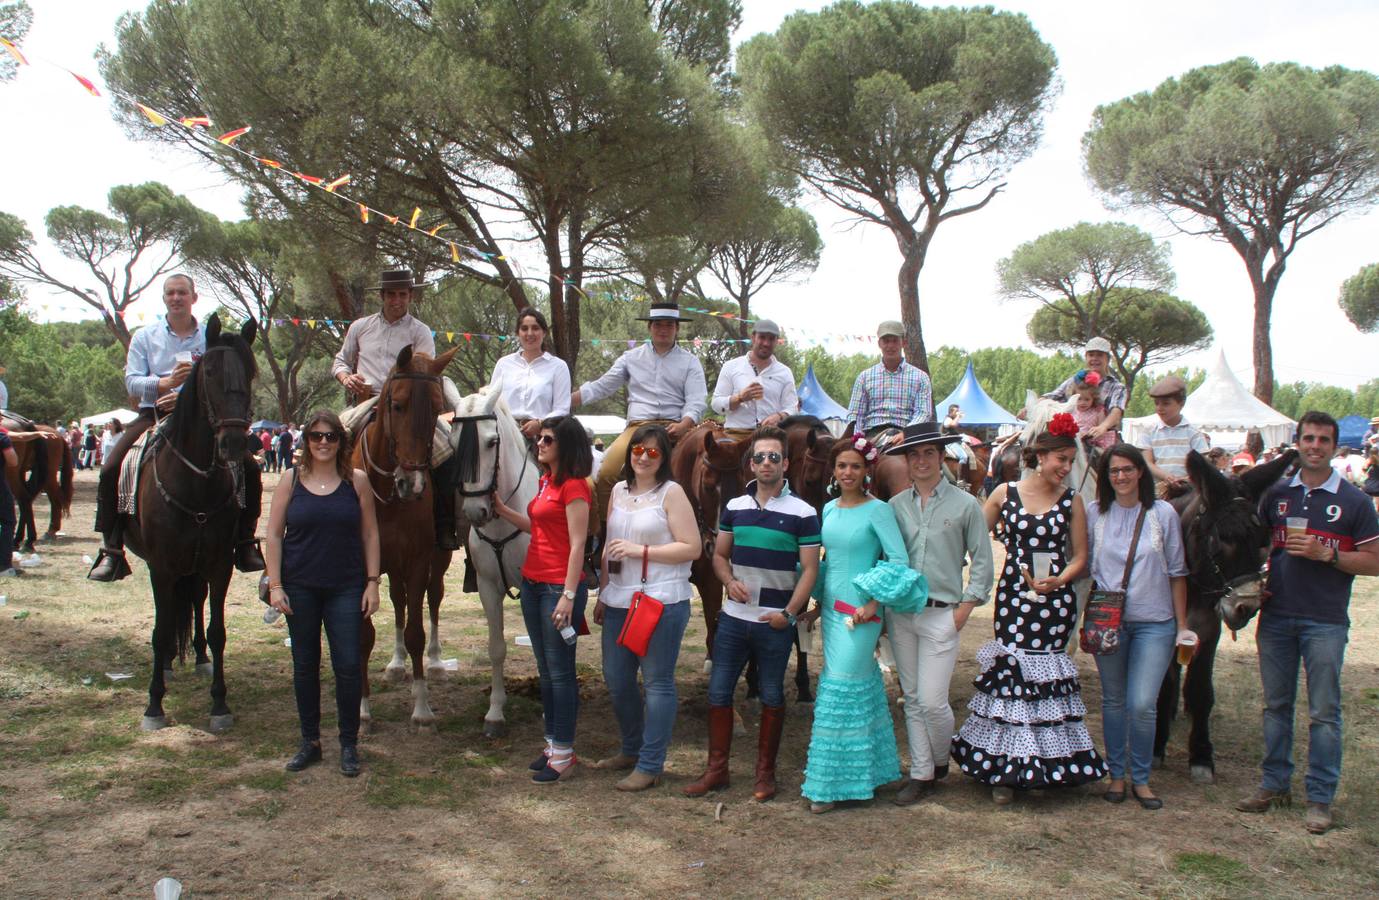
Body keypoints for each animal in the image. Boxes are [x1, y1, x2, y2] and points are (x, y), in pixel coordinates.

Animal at [119, 315, 257, 727]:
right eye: (208, 371)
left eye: (250, 372)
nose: (233, 444)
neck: (196, 484)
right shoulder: (161, 566)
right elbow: (160, 630)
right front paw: (154, 704)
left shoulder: (219, 564)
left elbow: (217, 630)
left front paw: (220, 703)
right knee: (168, 617)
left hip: (196, 565)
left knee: (194, 601)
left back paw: (197, 657)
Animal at [350, 344, 457, 727]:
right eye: (397, 404)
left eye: (438, 407)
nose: (412, 484)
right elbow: (364, 636)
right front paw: (362, 709)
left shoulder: (418, 560)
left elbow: (416, 632)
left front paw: (422, 707)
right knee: (398, 601)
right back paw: (397, 665)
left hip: (436, 559)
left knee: (433, 598)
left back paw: (435, 663)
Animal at [1158, 449, 1296, 777]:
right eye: (1223, 539)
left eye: (1264, 542)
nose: (1247, 606)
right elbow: (1165, 682)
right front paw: (1157, 746)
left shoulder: (1209, 632)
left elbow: (1201, 691)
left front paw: (1201, 756)